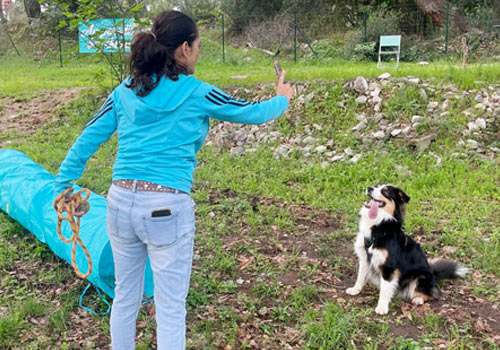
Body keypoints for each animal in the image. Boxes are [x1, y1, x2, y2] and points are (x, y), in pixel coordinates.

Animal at [348, 185, 468, 316]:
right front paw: (355, 290)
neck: (379, 228)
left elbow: (384, 290)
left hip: (420, 277)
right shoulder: (364, 258)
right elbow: (360, 277)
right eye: (376, 185)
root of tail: (434, 275)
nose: (369, 188)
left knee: (432, 294)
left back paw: (418, 299)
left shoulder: (389, 267)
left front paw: (382, 307)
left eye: (385, 191)